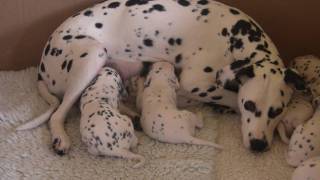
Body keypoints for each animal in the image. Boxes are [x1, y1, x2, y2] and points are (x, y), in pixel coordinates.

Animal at [16, 0, 304, 155]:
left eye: (277, 110)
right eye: (250, 106)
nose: (258, 145)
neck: (234, 37)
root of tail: (41, 64)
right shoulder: (195, 83)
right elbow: (230, 96)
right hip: (92, 56)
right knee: (58, 114)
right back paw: (60, 138)